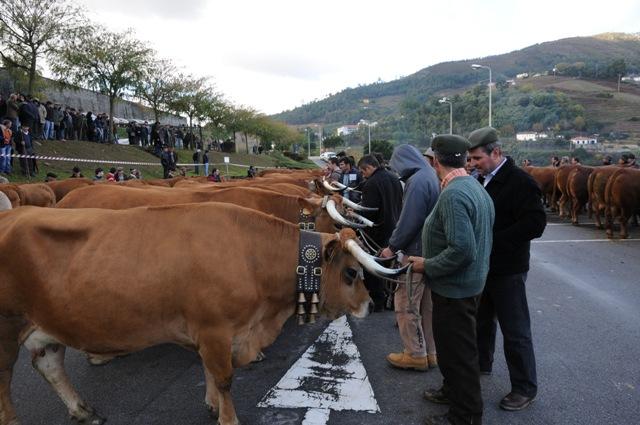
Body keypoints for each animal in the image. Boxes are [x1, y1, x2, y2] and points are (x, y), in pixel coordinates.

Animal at [0, 204, 402, 422]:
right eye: (351, 273)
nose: (369, 305)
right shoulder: (215, 330)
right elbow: (223, 377)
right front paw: (228, 417)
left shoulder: (212, 334)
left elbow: (208, 370)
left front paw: (211, 405)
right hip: (5, 329)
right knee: (6, 386)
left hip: (44, 325)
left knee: (50, 364)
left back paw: (84, 410)